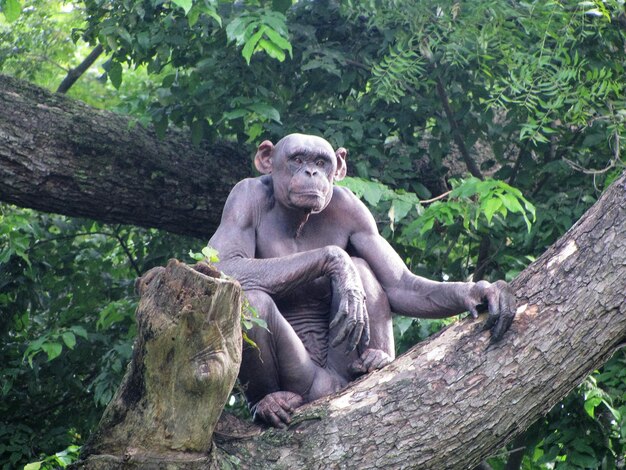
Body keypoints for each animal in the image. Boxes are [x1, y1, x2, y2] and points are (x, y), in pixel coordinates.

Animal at [207, 133, 516, 430]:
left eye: (321, 162)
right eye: (297, 159)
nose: (310, 172)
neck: (298, 218)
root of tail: (329, 389)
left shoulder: (355, 211)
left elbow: (399, 283)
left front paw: (482, 291)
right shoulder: (242, 197)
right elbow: (226, 263)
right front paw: (337, 261)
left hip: (343, 370)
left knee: (364, 268)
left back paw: (377, 360)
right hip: (305, 383)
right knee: (252, 301)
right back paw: (269, 401)